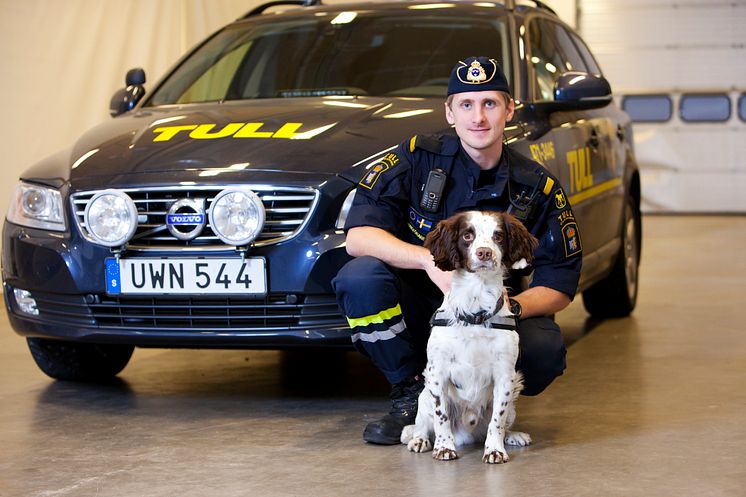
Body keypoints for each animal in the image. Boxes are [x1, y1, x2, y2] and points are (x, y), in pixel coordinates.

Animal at [402, 208, 536, 462]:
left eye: (498, 236)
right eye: (467, 236)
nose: (484, 253)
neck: (476, 308)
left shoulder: (505, 374)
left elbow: (497, 420)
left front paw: (494, 450)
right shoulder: (437, 371)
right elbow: (441, 416)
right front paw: (444, 447)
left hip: (514, 397)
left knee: (502, 422)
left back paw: (513, 436)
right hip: (423, 395)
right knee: (422, 423)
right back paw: (420, 440)